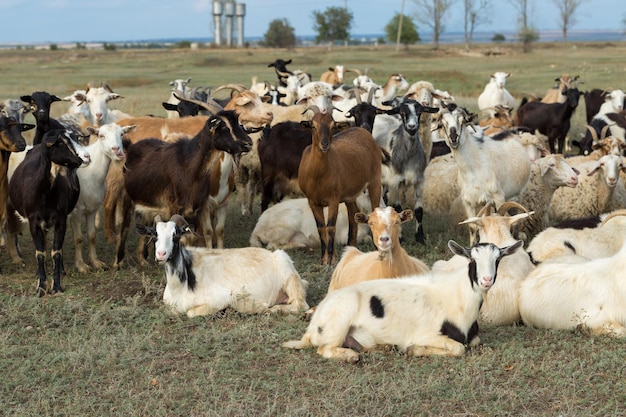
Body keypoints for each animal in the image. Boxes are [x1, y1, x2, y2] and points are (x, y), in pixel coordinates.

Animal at [5, 128, 86, 294]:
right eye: (60, 142)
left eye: (75, 138)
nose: (80, 159)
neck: (46, 193)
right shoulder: (33, 221)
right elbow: (40, 252)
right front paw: (42, 285)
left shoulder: (60, 219)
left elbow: (57, 251)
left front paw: (56, 286)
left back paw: (61, 269)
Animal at [138, 214, 310, 316]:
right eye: (155, 235)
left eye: (176, 235)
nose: (161, 254)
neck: (181, 286)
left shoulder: (219, 298)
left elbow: (190, 313)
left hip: (288, 272)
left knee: (300, 305)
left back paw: (273, 309)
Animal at [280, 237, 520, 360]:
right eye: (472, 259)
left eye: (498, 259)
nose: (486, 280)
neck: (459, 298)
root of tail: (312, 326)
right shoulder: (427, 334)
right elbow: (458, 348)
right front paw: (413, 349)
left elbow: (473, 342)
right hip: (338, 322)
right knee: (324, 349)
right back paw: (350, 356)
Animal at [296, 105, 382, 264]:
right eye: (313, 125)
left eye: (332, 125)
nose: (325, 145)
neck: (317, 176)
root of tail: (364, 131)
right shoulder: (313, 201)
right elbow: (321, 228)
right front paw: (323, 260)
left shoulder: (333, 199)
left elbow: (330, 226)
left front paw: (330, 260)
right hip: (350, 196)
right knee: (353, 216)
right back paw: (350, 248)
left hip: (375, 183)